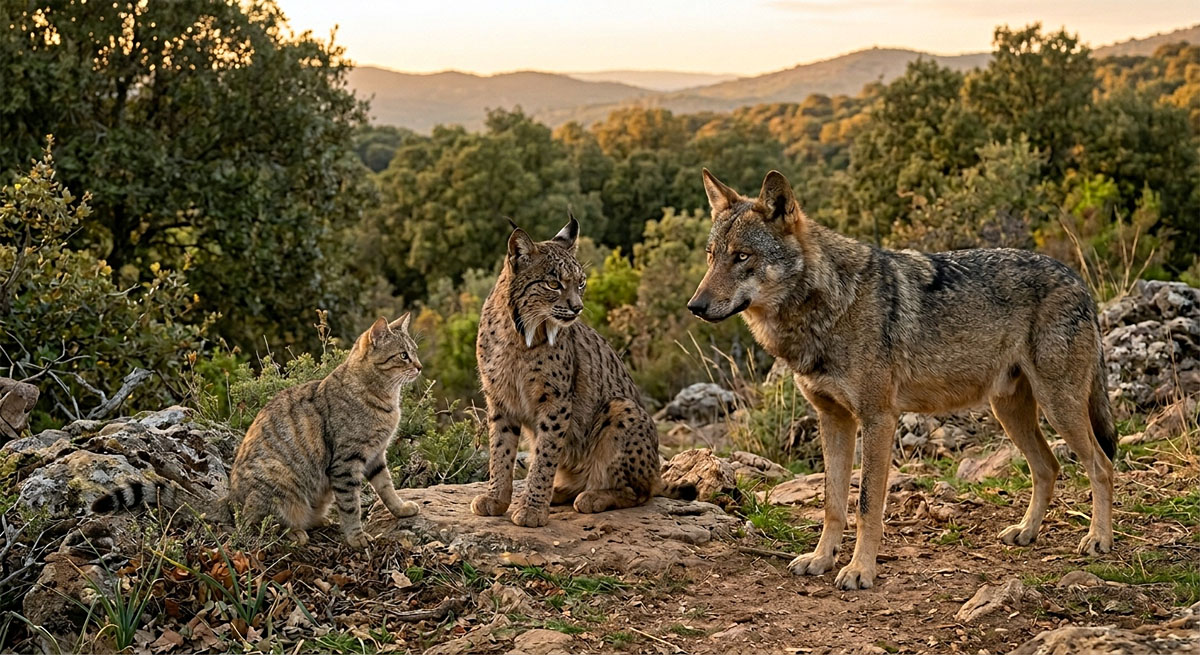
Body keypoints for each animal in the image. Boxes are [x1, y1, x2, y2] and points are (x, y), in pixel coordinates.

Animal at [688, 169, 1116, 590]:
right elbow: (832, 503)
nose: (695, 306)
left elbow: (866, 506)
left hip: (1058, 407)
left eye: (742, 256)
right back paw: (1026, 531)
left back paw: (1098, 539)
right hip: (1010, 412)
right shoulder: (833, 419)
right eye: (711, 256)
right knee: (1048, 467)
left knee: (1101, 465)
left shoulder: (878, 419)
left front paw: (860, 570)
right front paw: (821, 559)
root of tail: (1078, 281)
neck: (828, 307)